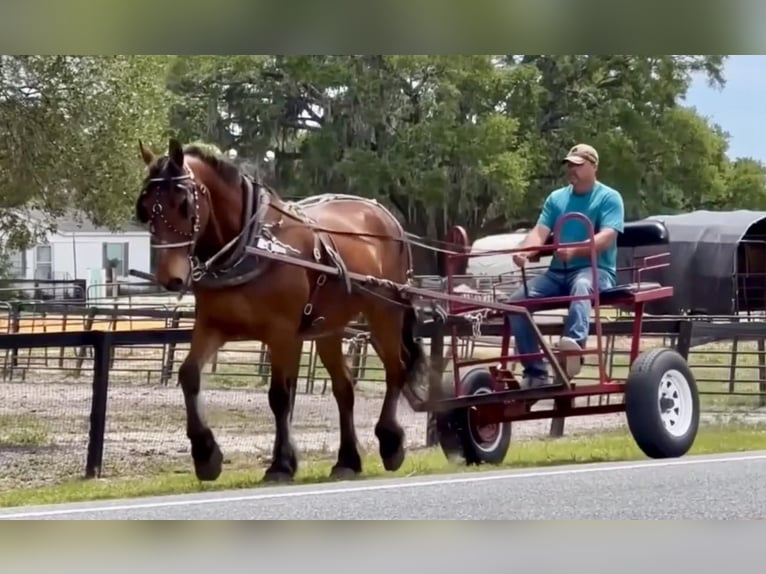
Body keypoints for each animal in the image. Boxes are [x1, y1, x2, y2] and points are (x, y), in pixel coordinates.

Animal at [134, 137, 432, 484]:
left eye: (183, 203)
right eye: (145, 207)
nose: (170, 278)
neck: (251, 246)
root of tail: (385, 215)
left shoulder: (281, 333)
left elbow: (279, 395)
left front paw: (280, 465)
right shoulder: (212, 326)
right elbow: (189, 375)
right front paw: (206, 454)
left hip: (385, 311)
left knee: (396, 369)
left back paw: (390, 443)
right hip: (328, 328)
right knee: (344, 387)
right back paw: (347, 460)